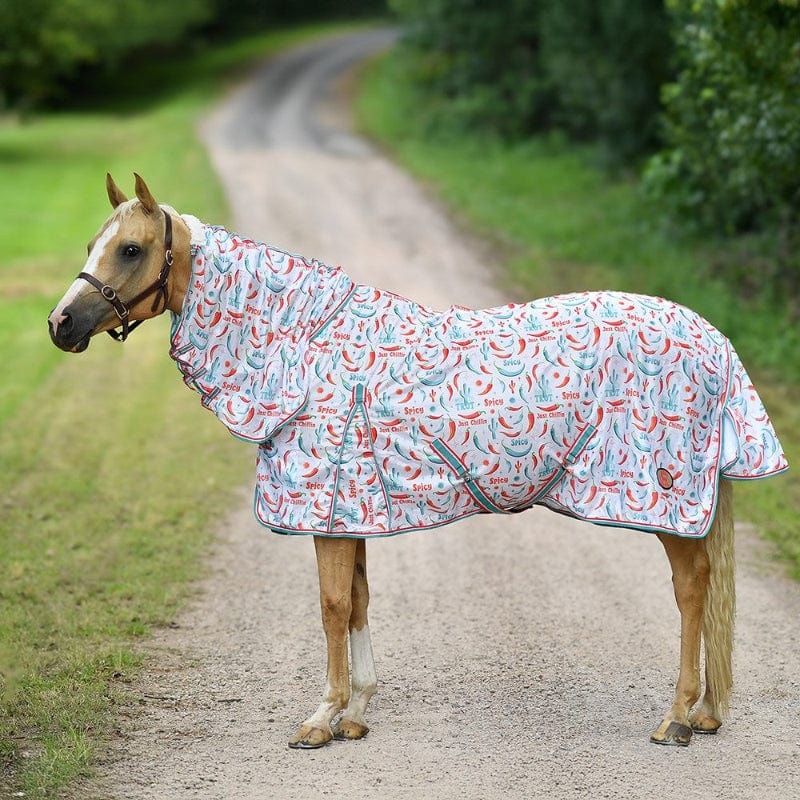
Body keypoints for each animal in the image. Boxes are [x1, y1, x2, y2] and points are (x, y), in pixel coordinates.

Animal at [48, 174, 788, 749]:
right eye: (92, 246)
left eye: (132, 248)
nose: (61, 325)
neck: (305, 349)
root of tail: (714, 338)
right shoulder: (349, 511)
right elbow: (357, 601)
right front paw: (355, 713)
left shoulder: (326, 509)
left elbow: (331, 605)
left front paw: (321, 718)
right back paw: (705, 712)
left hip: (668, 501)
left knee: (692, 590)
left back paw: (678, 718)